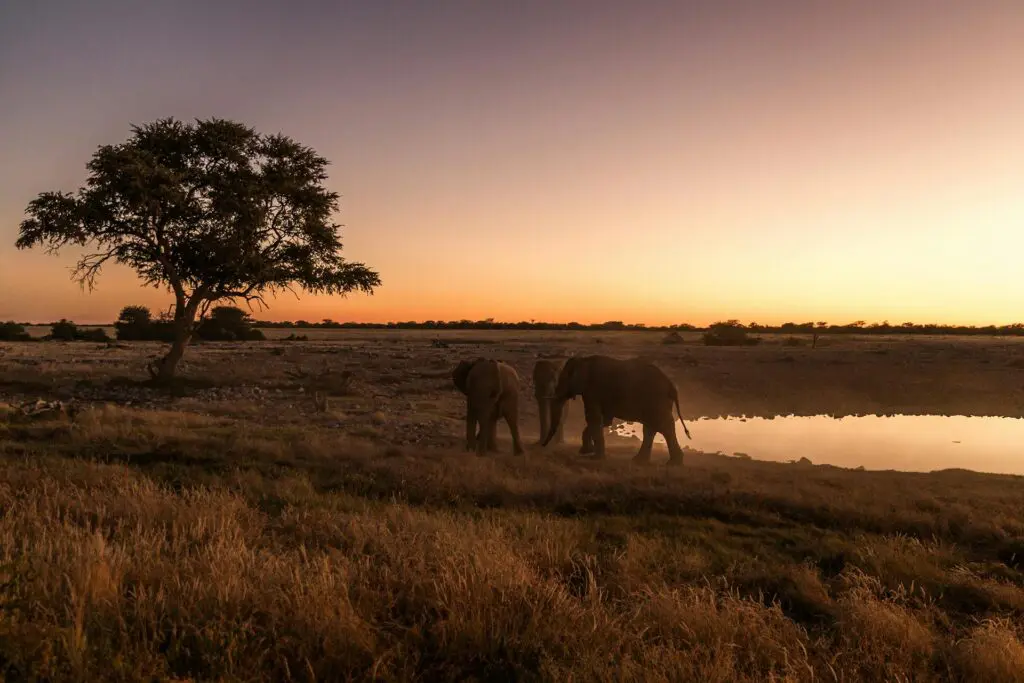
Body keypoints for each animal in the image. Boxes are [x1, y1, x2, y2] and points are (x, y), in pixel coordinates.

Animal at [540, 354, 693, 465]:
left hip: (656, 400)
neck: (584, 360)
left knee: (663, 426)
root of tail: (671, 385)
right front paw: (586, 452)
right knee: (651, 427)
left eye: (563, 380)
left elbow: (593, 418)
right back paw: (639, 461)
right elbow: (603, 420)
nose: (543, 446)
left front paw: (594, 458)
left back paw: (673, 464)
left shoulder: (593, 391)